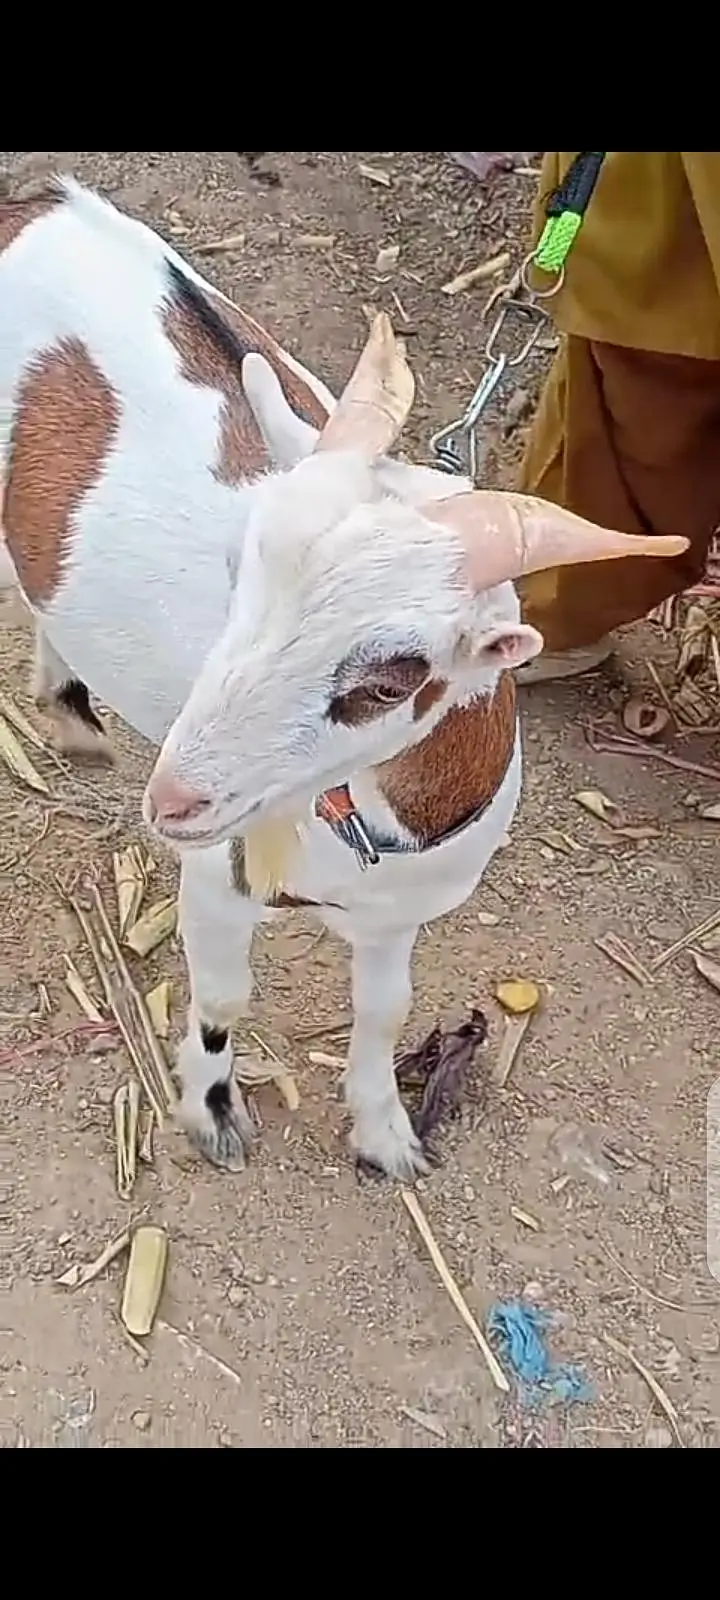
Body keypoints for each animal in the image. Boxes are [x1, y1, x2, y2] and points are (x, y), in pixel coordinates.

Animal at [0, 177, 687, 1179]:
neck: (360, 829)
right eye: (238, 570)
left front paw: (386, 1134)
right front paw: (212, 1113)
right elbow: (224, 1001)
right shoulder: (216, 879)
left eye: (395, 678)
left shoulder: (400, 912)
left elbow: (386, 1012)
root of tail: (44, 200)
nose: (173, 801)